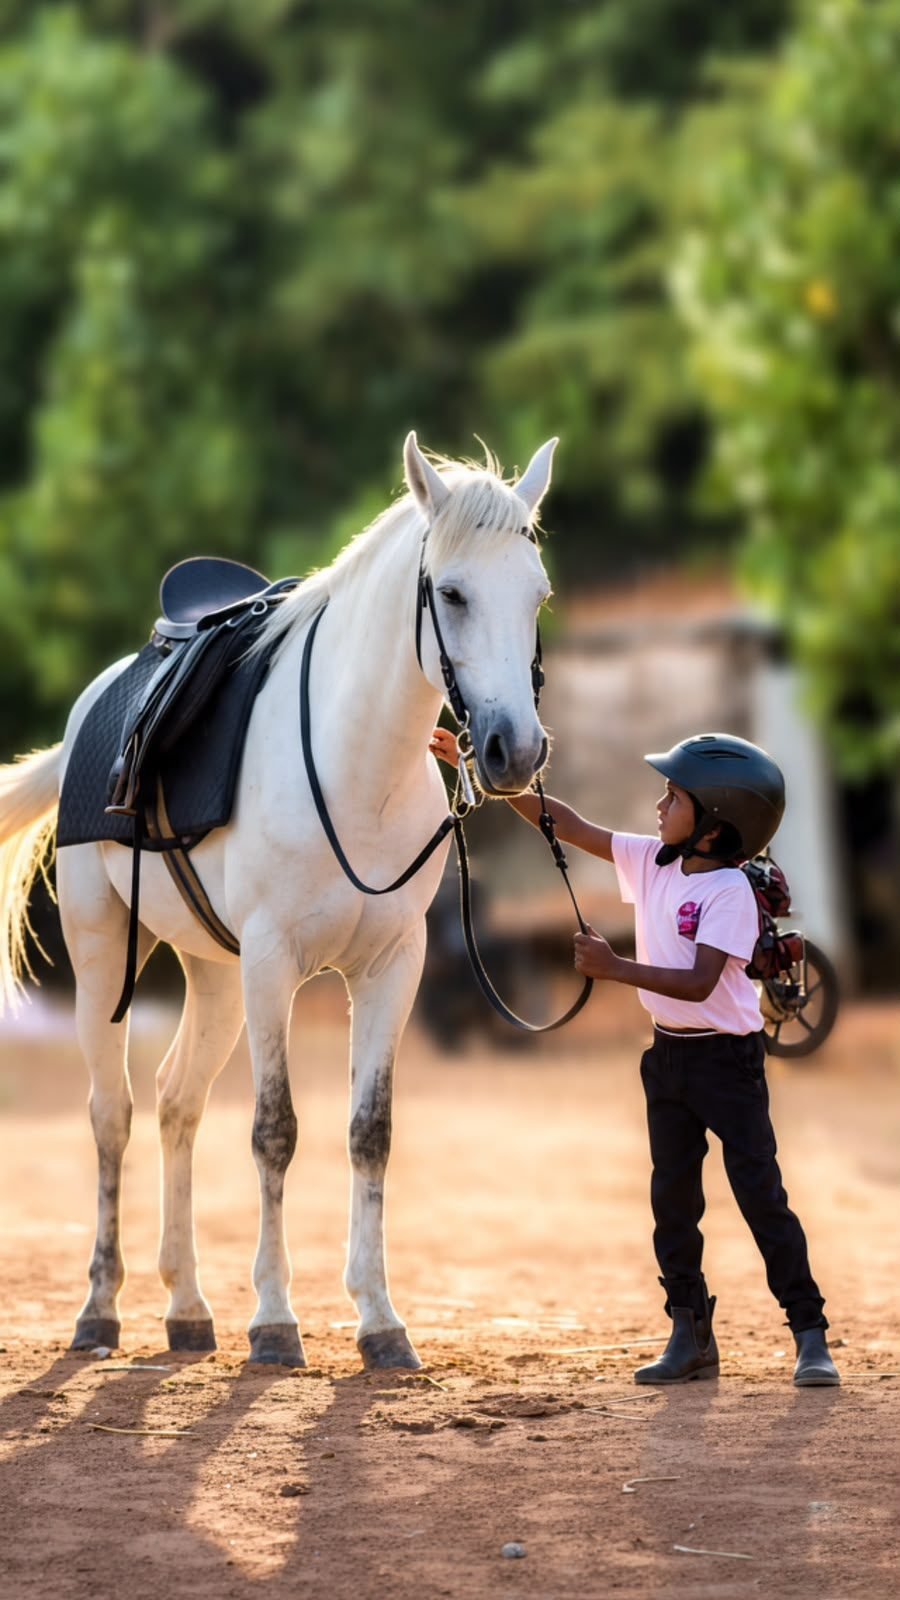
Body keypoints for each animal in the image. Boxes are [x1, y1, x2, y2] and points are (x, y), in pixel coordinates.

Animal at [0, 431, 556, 1370]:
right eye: (451, 592)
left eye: (538, 594)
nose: (514, 751)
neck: (353, 765)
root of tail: (90, 711)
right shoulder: (273, 964)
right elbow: (275, 1131)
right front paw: (274, 1320)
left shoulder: (392, 967)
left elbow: (370, 1132)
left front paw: (380, 1320)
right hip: (104, 952)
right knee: (112, 1114)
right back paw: (101, 1311)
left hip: (215, 977)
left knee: (176, 1102)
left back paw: (187, 1308)